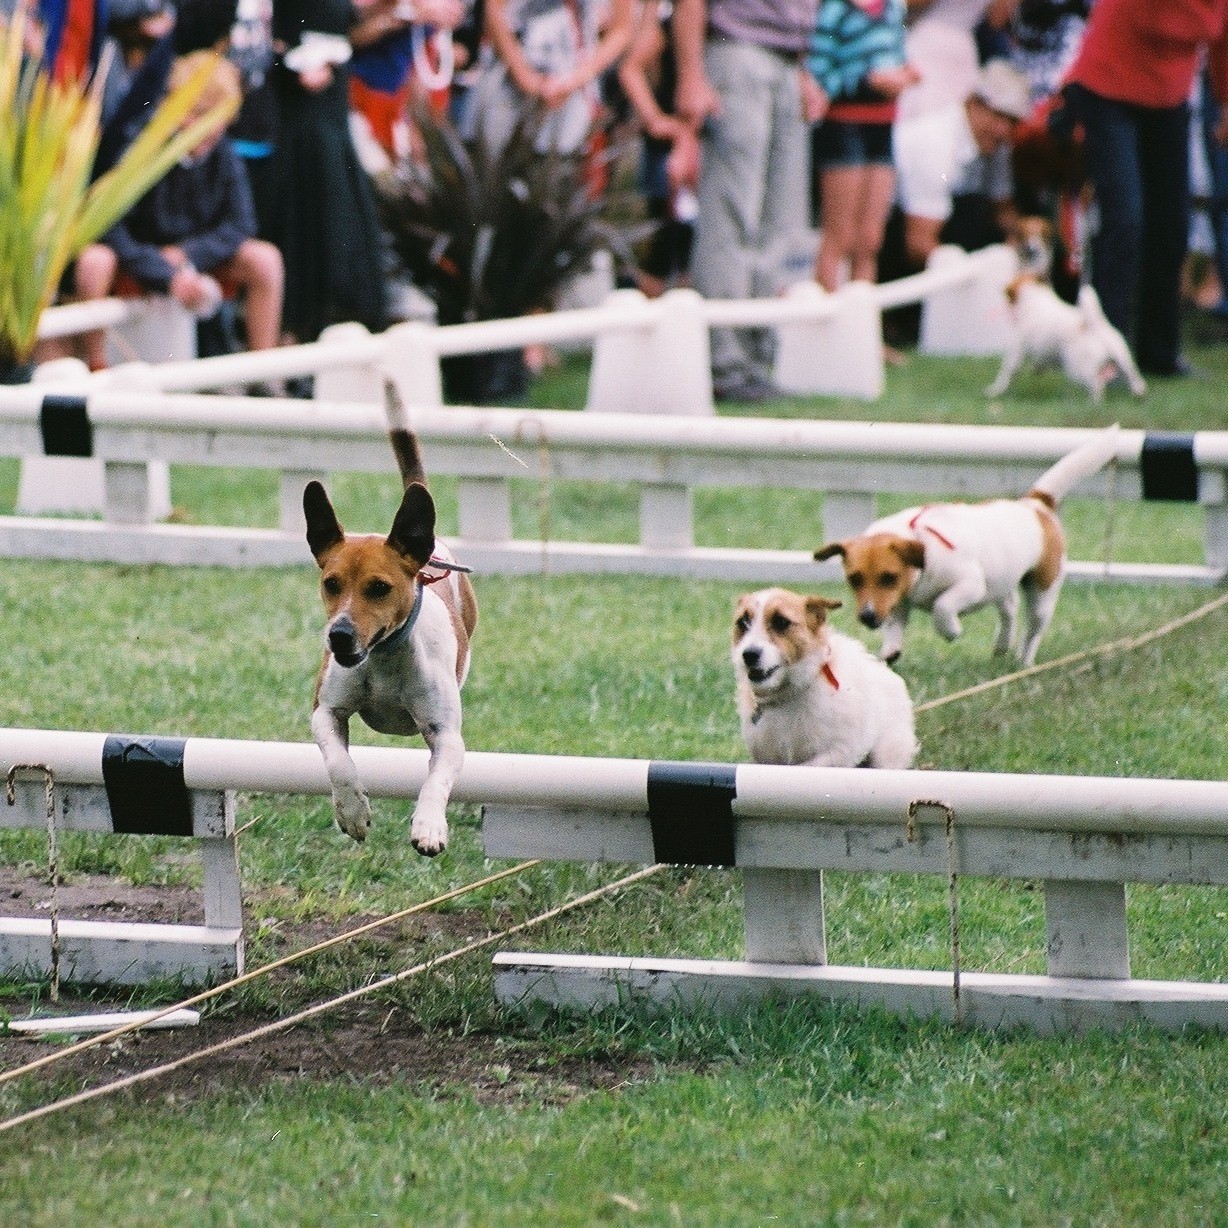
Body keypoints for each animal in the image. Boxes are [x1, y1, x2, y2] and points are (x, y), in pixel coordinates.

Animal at [304, 383, 476, 854]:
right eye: (330, 583)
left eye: (379, 588)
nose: (339, 636)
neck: (382, 660)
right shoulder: (326, 710)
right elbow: (338, 761)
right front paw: (353, 812)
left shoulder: (445, 734)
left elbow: (437, 779)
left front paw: (429, 826)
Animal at [731, 584, 918, 766]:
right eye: (743, 622)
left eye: (781, 622)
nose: (749, 654)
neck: (791, 692)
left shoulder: (838, 753)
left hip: (887, 753)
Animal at [815, 427, 1124, 668]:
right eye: (854, 579)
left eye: (888, 577)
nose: (867, 617)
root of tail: (1035, 505)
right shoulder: (897, 603)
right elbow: (894, 627)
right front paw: (890, 651)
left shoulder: (970, 585)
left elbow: (942, 606)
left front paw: (951, 631)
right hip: (1003, 583)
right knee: (1009, 610)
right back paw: (1002, 644)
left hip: (1042, 591)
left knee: (1032, 629)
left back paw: (1024, 660)